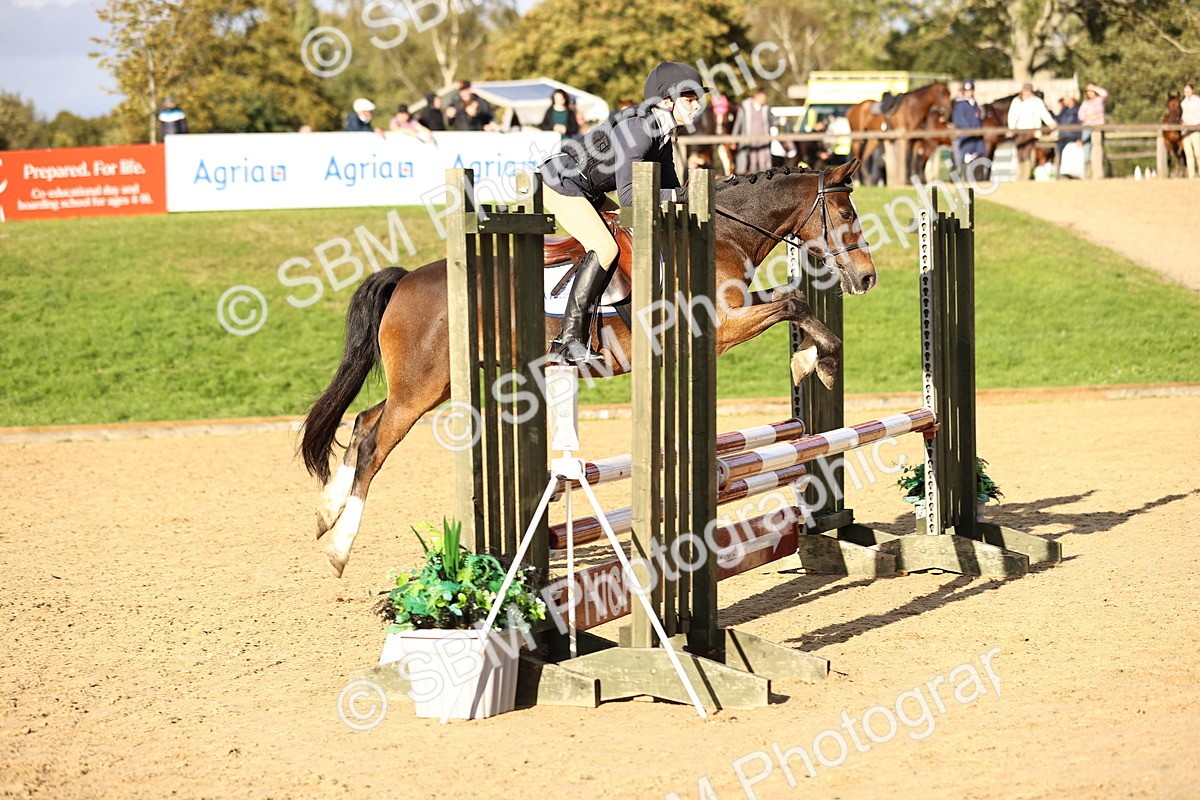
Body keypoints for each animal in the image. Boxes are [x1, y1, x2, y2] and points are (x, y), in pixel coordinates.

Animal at [300, 159, 878, 576]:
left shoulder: (734, 312)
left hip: (435, 385)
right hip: (421, 387)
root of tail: (405, 280)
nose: (868, 277)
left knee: (363, 422)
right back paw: (339, 547)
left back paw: (326, 514)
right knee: (375, 444)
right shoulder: (718, 328)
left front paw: (813, 363)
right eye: (848, 215)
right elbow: (793, 302)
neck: (723, 236)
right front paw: (818, 363)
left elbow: (791, 302)